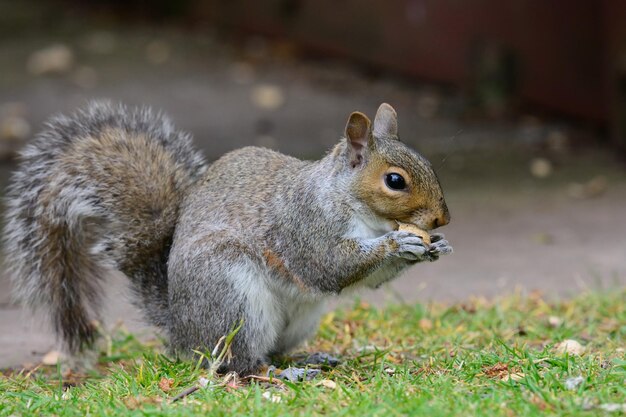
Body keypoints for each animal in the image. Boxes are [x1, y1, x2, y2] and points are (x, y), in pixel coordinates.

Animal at [3, 101, 448, 374]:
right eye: (395, 181)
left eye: (428, 164)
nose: (442, 218)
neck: (359, 209)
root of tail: (181, 331)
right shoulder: (304, 224)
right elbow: (329, 266)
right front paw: (397, 245)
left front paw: (433, 248)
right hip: (231, 296)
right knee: (237, 361)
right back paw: (279, 374)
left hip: (298, 317)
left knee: (273, 350)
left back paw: (308, 357)